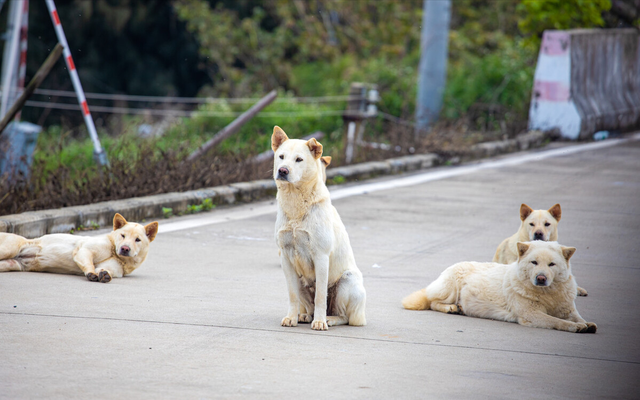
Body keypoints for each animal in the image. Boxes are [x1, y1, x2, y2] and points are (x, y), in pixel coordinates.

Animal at [0, 214, 159, 282]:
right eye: (123, 235)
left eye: (137, 240)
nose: (125, 248)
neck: (114, 251)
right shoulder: (84, 250)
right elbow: (88, 260)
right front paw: (91, 273)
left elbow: (104, 269)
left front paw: (104, 274)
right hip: (11, 247)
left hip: (12, 264)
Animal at [272, 126, 368, 332]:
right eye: (281, 157)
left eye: (299, 159)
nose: (282, 170)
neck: (296, 203)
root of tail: (362, 316)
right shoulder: (285, 257)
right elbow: (292, 295)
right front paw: (291, 318)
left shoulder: (321, 256)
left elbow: (320, 296)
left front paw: (319, 322)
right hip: (302, 281)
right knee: (307, 304)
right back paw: (304, 316)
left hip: (347, 281)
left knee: (343, 315)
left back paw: (328, 319)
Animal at [402, 241, 596, 334]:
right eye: (534, 262)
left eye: (551, 264)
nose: (540, 278)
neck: (548, 294)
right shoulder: (531, 315)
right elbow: (558, 321)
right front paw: (575, 327)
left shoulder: (567, 308)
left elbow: (578, 318)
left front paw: (586, 324)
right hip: (450, 288)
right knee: (432, 301)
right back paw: (451, 307)